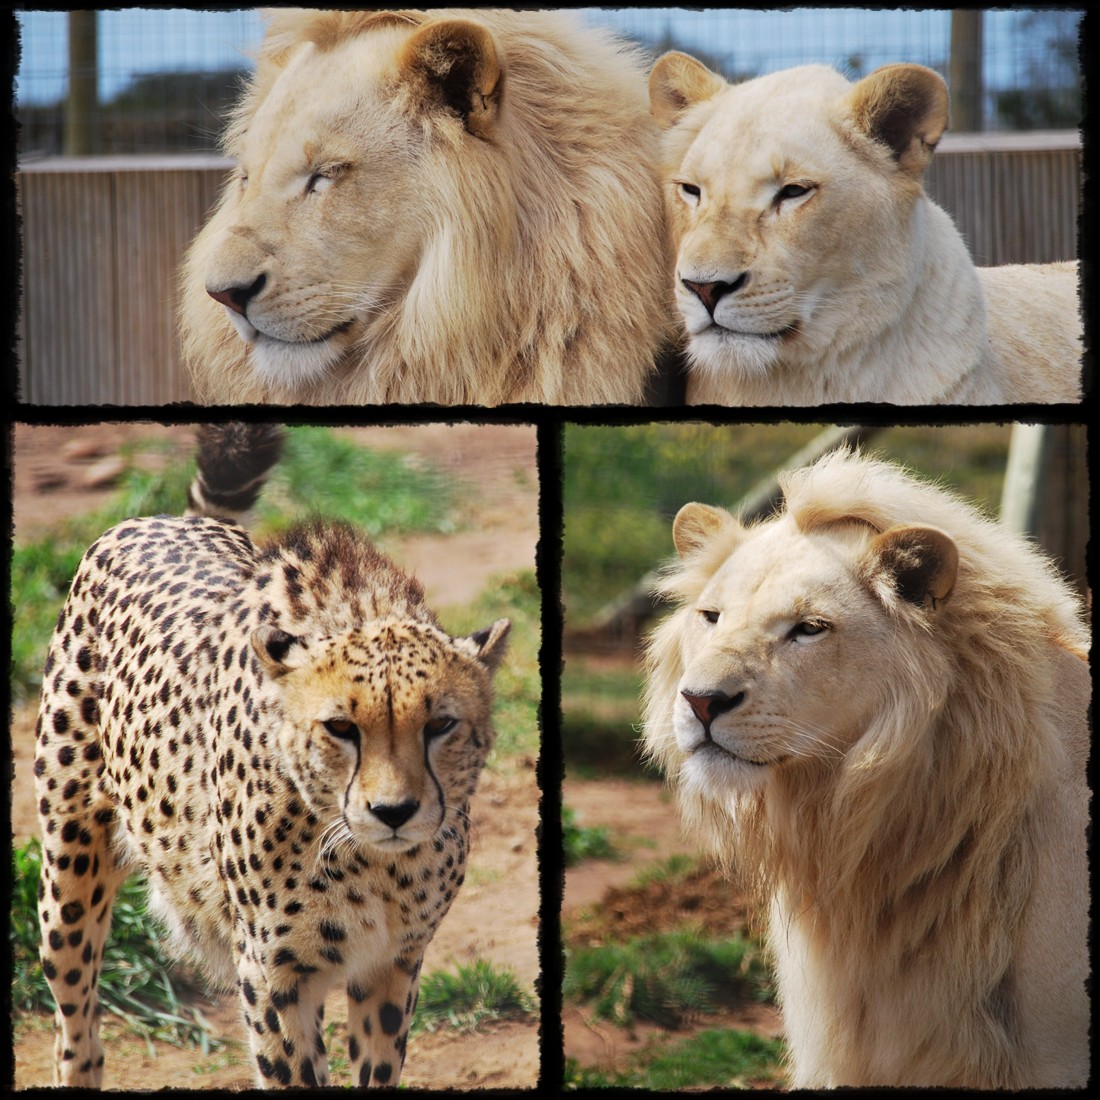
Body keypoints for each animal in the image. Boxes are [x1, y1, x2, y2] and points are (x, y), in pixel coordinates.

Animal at [34, 424, 510, 1086]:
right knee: (74, 1008)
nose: (394, 812)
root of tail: (157, 521)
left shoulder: (393, 961)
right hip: (69, 872)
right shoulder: (272, 975)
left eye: (440, 725)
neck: (368, 861)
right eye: (341, 727)